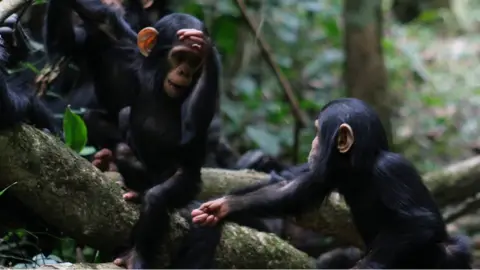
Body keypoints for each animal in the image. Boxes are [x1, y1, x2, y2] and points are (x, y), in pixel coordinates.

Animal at [49, 0, 220, 268]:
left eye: (194, 61)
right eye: (180, 56)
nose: (184, 72)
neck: (158, 79)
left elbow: (193, 126)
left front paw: (208, 49)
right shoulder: (124, 47)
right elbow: (92, 26)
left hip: (189, 184)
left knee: (158, 197)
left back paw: (137, 254)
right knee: (122, 136)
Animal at [191, 98, 472, 268]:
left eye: (318, 131)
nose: (313, 144)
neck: (361, 167)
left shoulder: (392, 171)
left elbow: (418, 222)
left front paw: (364, 268)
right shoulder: (327, 172)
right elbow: (291, 193)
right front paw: (223, 206)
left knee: (452, 250)